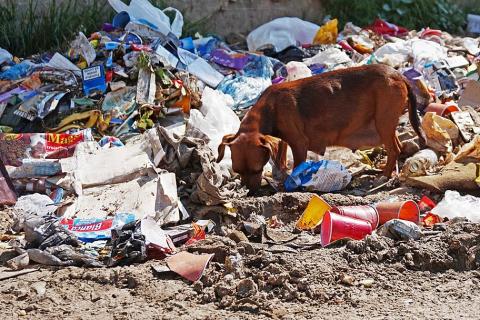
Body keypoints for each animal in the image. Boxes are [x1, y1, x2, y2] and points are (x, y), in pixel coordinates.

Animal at [217, 63, 424, 191]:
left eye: (256, 170)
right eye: (237, 171)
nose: (250, 192)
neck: (270, 108)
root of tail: (398, 75)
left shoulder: (299, 143)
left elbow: (297, 166)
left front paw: (292, 184)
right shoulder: (281, 140)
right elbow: (281, 159)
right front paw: (281, 177)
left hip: (383, 122)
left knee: (394, 148)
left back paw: (384, 176)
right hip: (386, 125)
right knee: (397, 145)